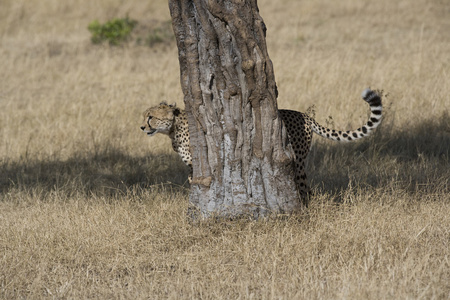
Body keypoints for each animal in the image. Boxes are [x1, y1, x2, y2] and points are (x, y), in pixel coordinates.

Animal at [142, 88, 384, 203]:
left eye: (151, 117)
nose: (142, 127)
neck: (173, 128)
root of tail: (304, 115)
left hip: (297, 161)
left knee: (305, 188)